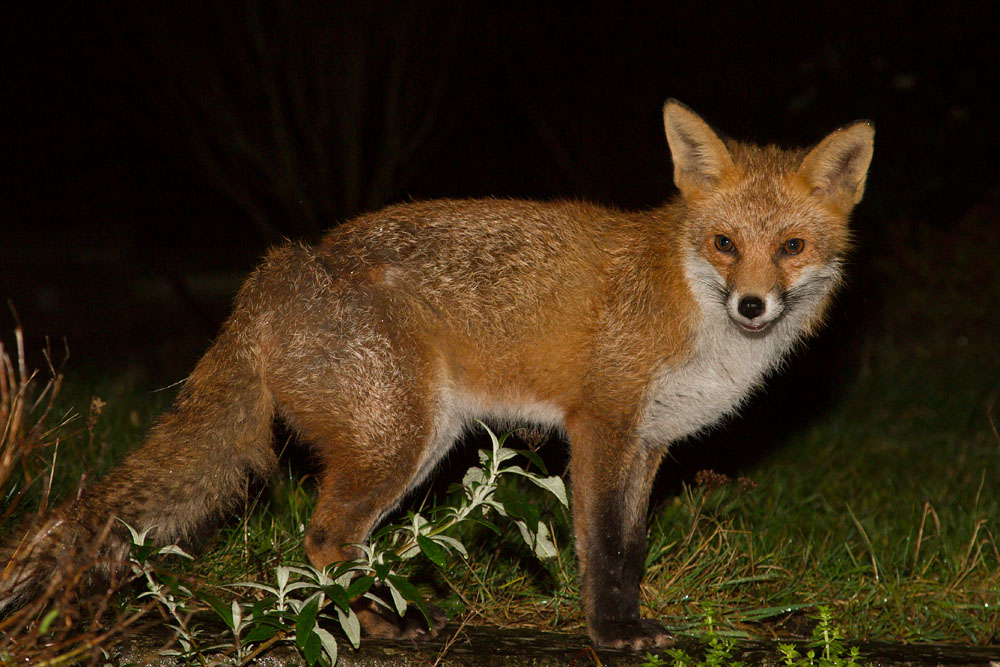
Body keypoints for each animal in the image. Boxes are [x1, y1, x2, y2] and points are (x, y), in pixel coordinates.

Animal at [0, 100, 873, 649]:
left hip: (416, 441)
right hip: (397, 439)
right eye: (725, 243)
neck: (691, 307)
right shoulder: (601, 425)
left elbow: (631, 548)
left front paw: (630, 623)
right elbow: (603, 549)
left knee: (333, 542)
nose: (754, 304)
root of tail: (280, 268)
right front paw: (611, 633)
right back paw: (373, 628)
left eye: (790, 247)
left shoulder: (650, 440)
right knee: (321, 539)